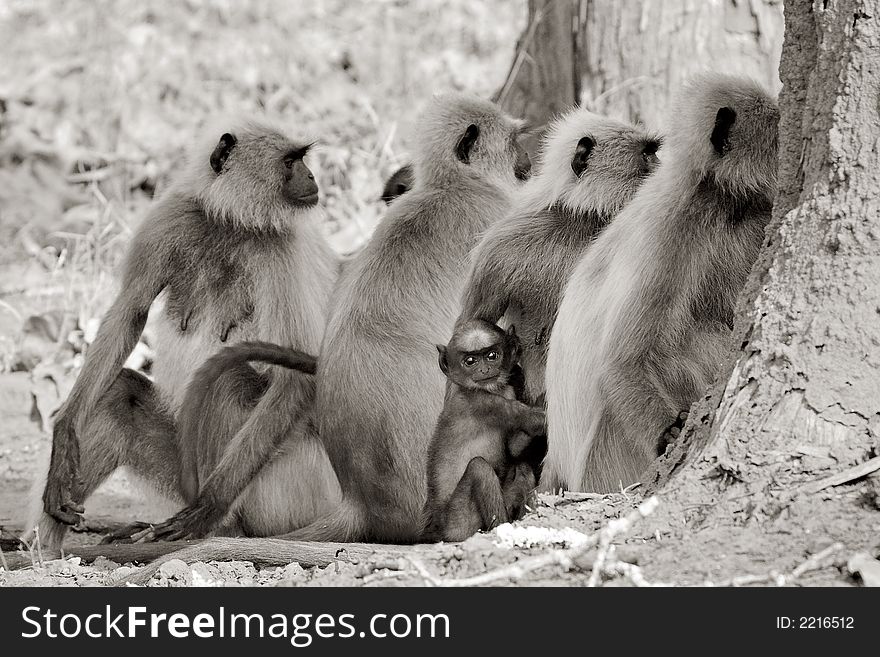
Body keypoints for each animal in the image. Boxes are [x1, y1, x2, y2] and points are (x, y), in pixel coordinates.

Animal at [25, 118, 342, 548]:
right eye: (292, 162)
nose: (312, 177)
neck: (230, 222)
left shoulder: (281, 249)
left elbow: (295, 377)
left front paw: (206, 509)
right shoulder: (170, 218)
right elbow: (129, 313)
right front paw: (63, 433)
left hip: (295, 485)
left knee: (227, 381)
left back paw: (218, 525)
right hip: (179, 465)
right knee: (118, 393)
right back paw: (44, 553)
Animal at [422, 320, 548, 540]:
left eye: (492, 356)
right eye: (470, 361)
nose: (484, 369)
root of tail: (440, 527)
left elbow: (515, 450)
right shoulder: (484, 403)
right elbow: (536, 421)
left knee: (522, 468)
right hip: (459, 522)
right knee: (479, 467)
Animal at [548, 74, 780, 490]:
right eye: (777, 134)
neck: (720, 199)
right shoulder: (671, 229)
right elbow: (622, 362)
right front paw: (669, 434)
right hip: (612, 459)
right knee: (691, 339)